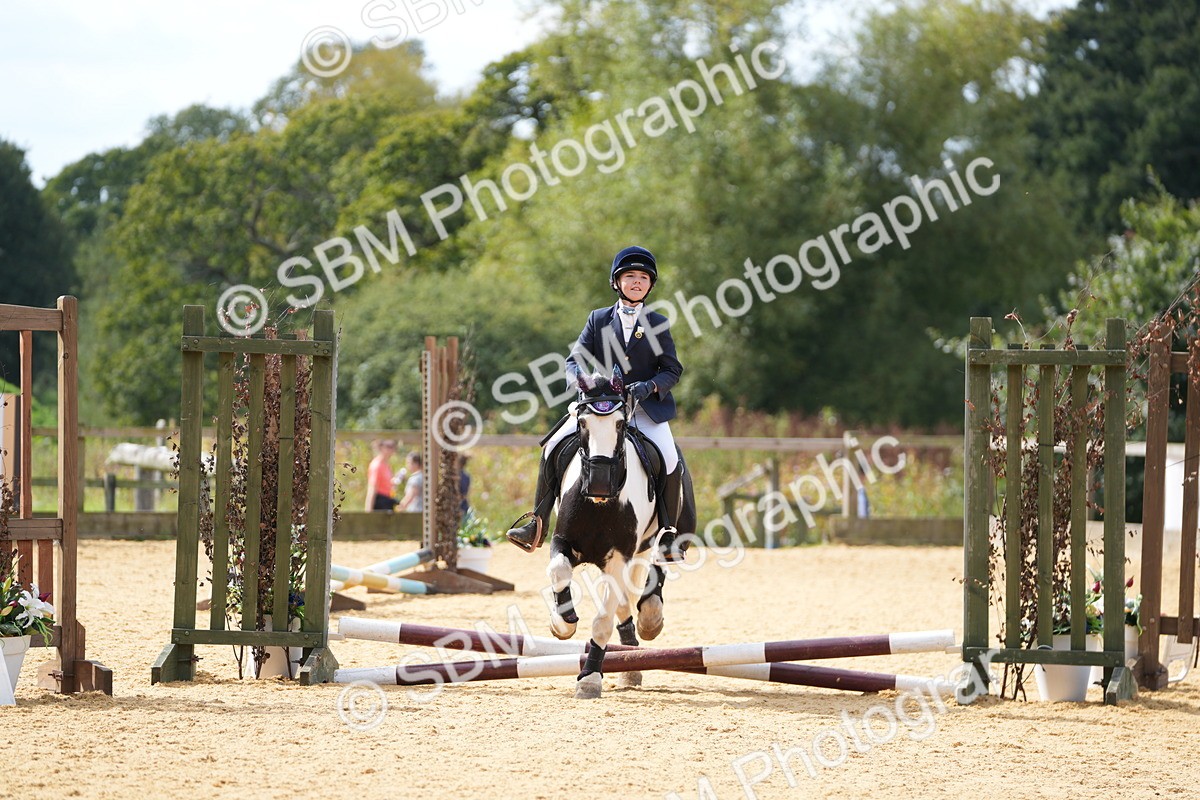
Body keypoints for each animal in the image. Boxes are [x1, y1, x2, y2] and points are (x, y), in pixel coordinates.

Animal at [545, 366, 695, 699]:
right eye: (582, 423)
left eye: (620, 424)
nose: (599, 483)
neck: (600, 504)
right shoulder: (563, 542)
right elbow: (559, 571)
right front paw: (562, 623)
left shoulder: (619, 555)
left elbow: (602, 619)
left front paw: (589, 678)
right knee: (625, 601)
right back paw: (631, 661)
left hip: (665, 537)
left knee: (658, 564)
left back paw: (650, 619)